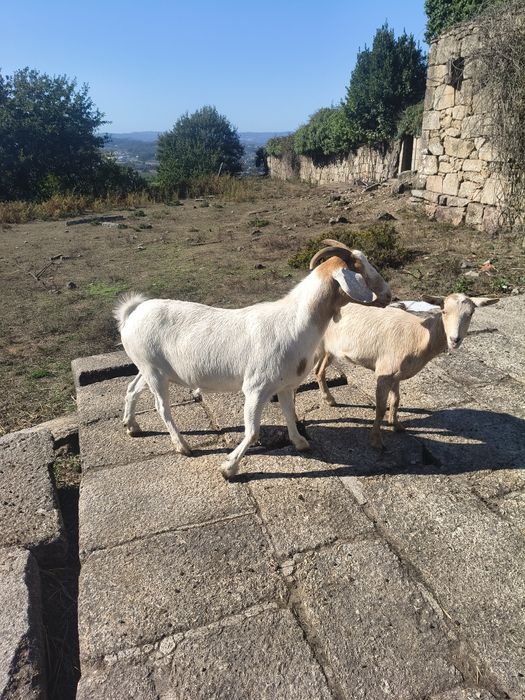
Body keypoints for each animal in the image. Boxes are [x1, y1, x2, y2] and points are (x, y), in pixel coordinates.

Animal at [114, 245, 383, 479]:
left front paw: (300, 442)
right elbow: (253, 432)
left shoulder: (285, 386)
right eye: (360, 268)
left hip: (148, 367)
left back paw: (131, 425)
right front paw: (229, 468)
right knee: (162, 407)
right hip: (155, 371)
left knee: (132, 388)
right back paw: (182, 446)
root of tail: (133, 311)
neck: (294, 321)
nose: (387, 294)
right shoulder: (256, 388)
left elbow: (289, 414)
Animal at [313, 292, 499, 449]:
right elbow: (380, 408)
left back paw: (329, 399)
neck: (421, 335)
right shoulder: (384, 372)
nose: (455, 340)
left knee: (318, 370)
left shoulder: (396, 374)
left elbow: (396, 401)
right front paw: (376, 440)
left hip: (329, 350)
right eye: (444, 311)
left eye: (471, 314)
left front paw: (396, 425)